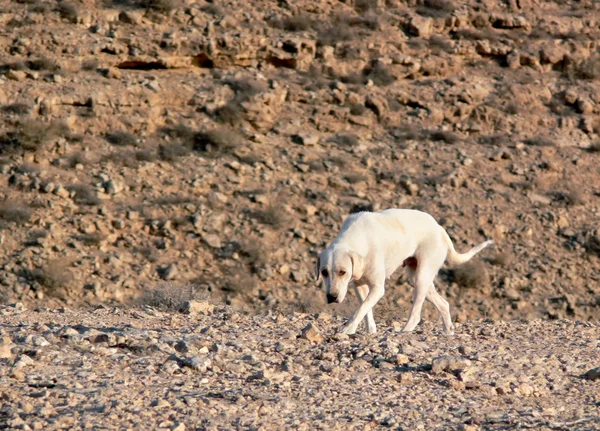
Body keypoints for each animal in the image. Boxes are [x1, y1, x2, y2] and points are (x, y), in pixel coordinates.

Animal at [314, 209, 492, 338]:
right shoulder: (360, 285)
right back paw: (448, 332)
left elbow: (361, 309)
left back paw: (405, 330)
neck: (357, 238)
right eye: (324, 272)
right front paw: (370, 331)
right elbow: (365, 310)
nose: (331, 297)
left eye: (342, 272)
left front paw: (348, 329)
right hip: (417, 278)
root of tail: (439, 228)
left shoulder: (378, 288)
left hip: (421, 277)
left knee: (416, 313)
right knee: (443, 304)